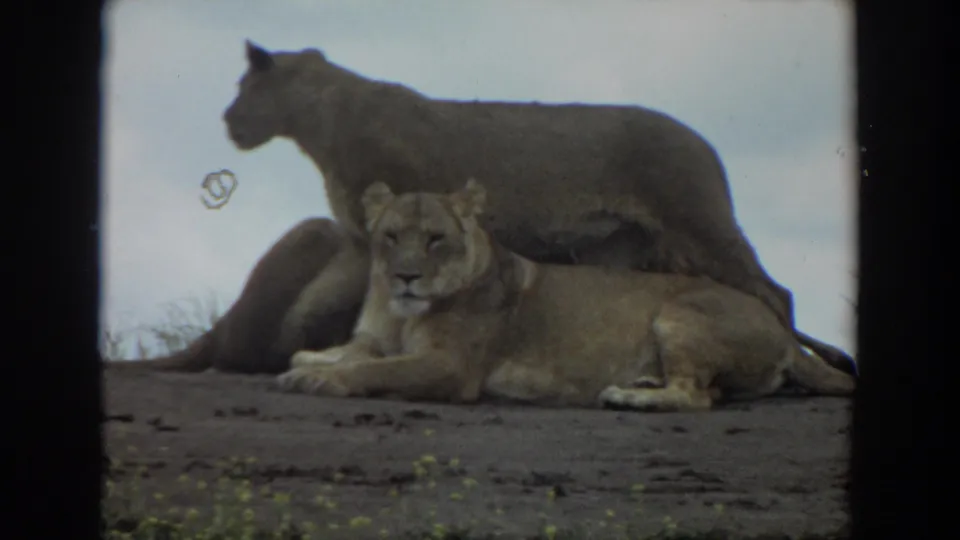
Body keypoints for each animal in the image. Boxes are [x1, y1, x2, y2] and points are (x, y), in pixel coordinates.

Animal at [222, 40, 856, 376]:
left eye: (243, 89)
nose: (227, 120)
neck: (320, 124)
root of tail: (704, 142)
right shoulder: (364, 242)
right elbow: (330, 303)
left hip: (698, 223)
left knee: (776, 293)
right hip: (630, 247)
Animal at [276, 180, 855, 412]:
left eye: (436, 239)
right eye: (392, 236)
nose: (406, 277)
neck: (399, 314)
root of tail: (784, 334)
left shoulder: (453, 367)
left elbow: (377, 369)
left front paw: (321, 378)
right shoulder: (378, 337)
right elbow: (344, 352)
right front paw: (311, 360)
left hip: (679, 313)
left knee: (695, 398)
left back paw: (629, 396)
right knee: (705, 390)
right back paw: (643, 381)